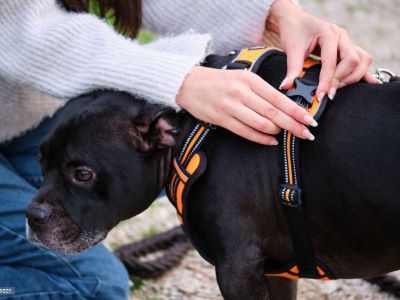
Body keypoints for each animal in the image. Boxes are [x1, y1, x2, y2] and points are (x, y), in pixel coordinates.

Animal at [25, 51, 400, 298]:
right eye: (40, 161)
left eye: (83, 174)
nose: (31, 216)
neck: (196, 131)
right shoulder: (275, 271)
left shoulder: (238, 270)